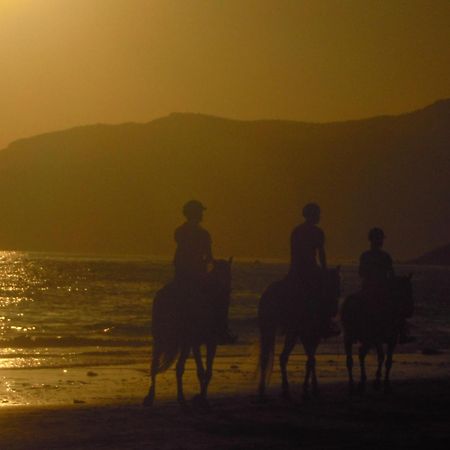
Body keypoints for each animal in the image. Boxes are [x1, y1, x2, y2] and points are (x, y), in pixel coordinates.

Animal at [143, 256, 232, 408]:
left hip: (173, 341)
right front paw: (201, 398)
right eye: (221, 274)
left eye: (229, 274)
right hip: (168, 340)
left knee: (168, 366)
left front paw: (202, 397)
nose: (226, 291)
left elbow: (207, 372)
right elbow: (202, 371)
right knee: (163, 366)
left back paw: (166, 397)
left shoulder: (209, 342)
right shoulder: (196, 342)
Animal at [256, 268, 342, 400]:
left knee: (276, 357)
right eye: (335, 282)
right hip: (285, 331)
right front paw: (308, 387)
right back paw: (281, 388)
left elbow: (312, 360)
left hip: (278, 330)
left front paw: (312, 387)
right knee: (279, 356)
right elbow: (311, 360)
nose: (334, 310)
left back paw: (273, 389)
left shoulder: (312, 336)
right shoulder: (307, 335)